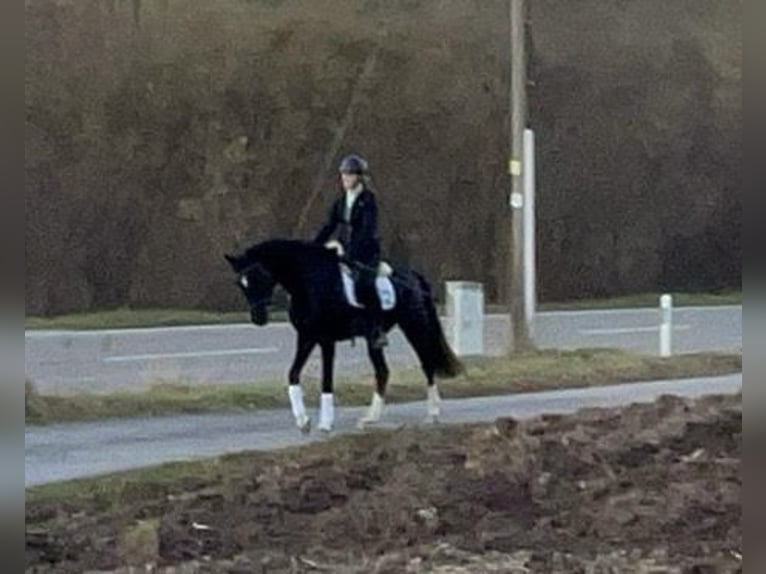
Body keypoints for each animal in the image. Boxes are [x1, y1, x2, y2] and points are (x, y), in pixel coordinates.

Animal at [222, 241, 462, 434]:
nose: (258, 318)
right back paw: (370, 419)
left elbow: (326, 380)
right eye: (241, 283)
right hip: (374, 339)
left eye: (259, 276)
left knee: (427, 364)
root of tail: (413, 276)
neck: (309, 282)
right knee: (383, 372)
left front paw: (325, 423)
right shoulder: (306, 337)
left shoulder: (326, 340)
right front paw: (303, 421)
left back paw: (432, 413)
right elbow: (292, 374)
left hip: (415, 325)